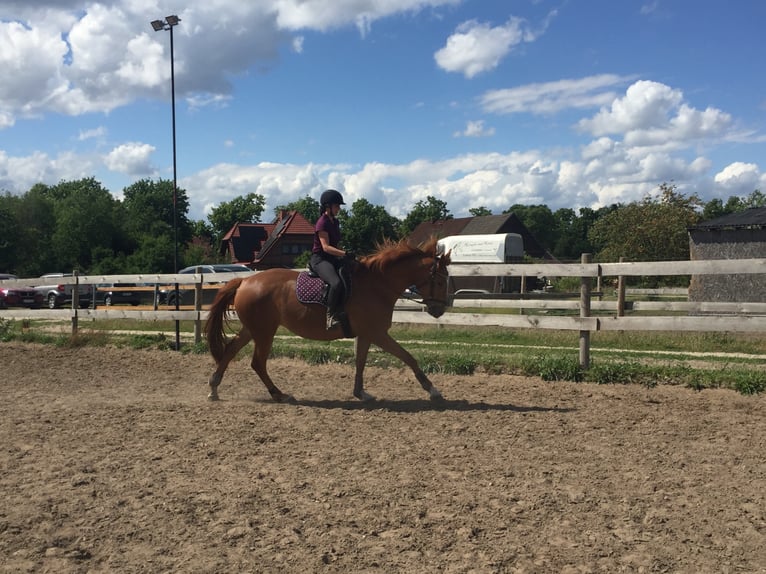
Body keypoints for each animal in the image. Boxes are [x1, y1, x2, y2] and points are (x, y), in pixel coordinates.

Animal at [207, 238, 452, 404]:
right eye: (440, 282)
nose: (439, 310)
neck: (378, 284)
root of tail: (244, 281)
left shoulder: (366, 334)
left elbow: (360, 362)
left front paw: (360, 393)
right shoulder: (378, 333)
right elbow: (408, 357)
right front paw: (432, 390)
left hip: (253, 328)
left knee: (230, 350)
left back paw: (214, 389)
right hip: (265, 331)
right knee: (257, 362)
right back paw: (279, 394)